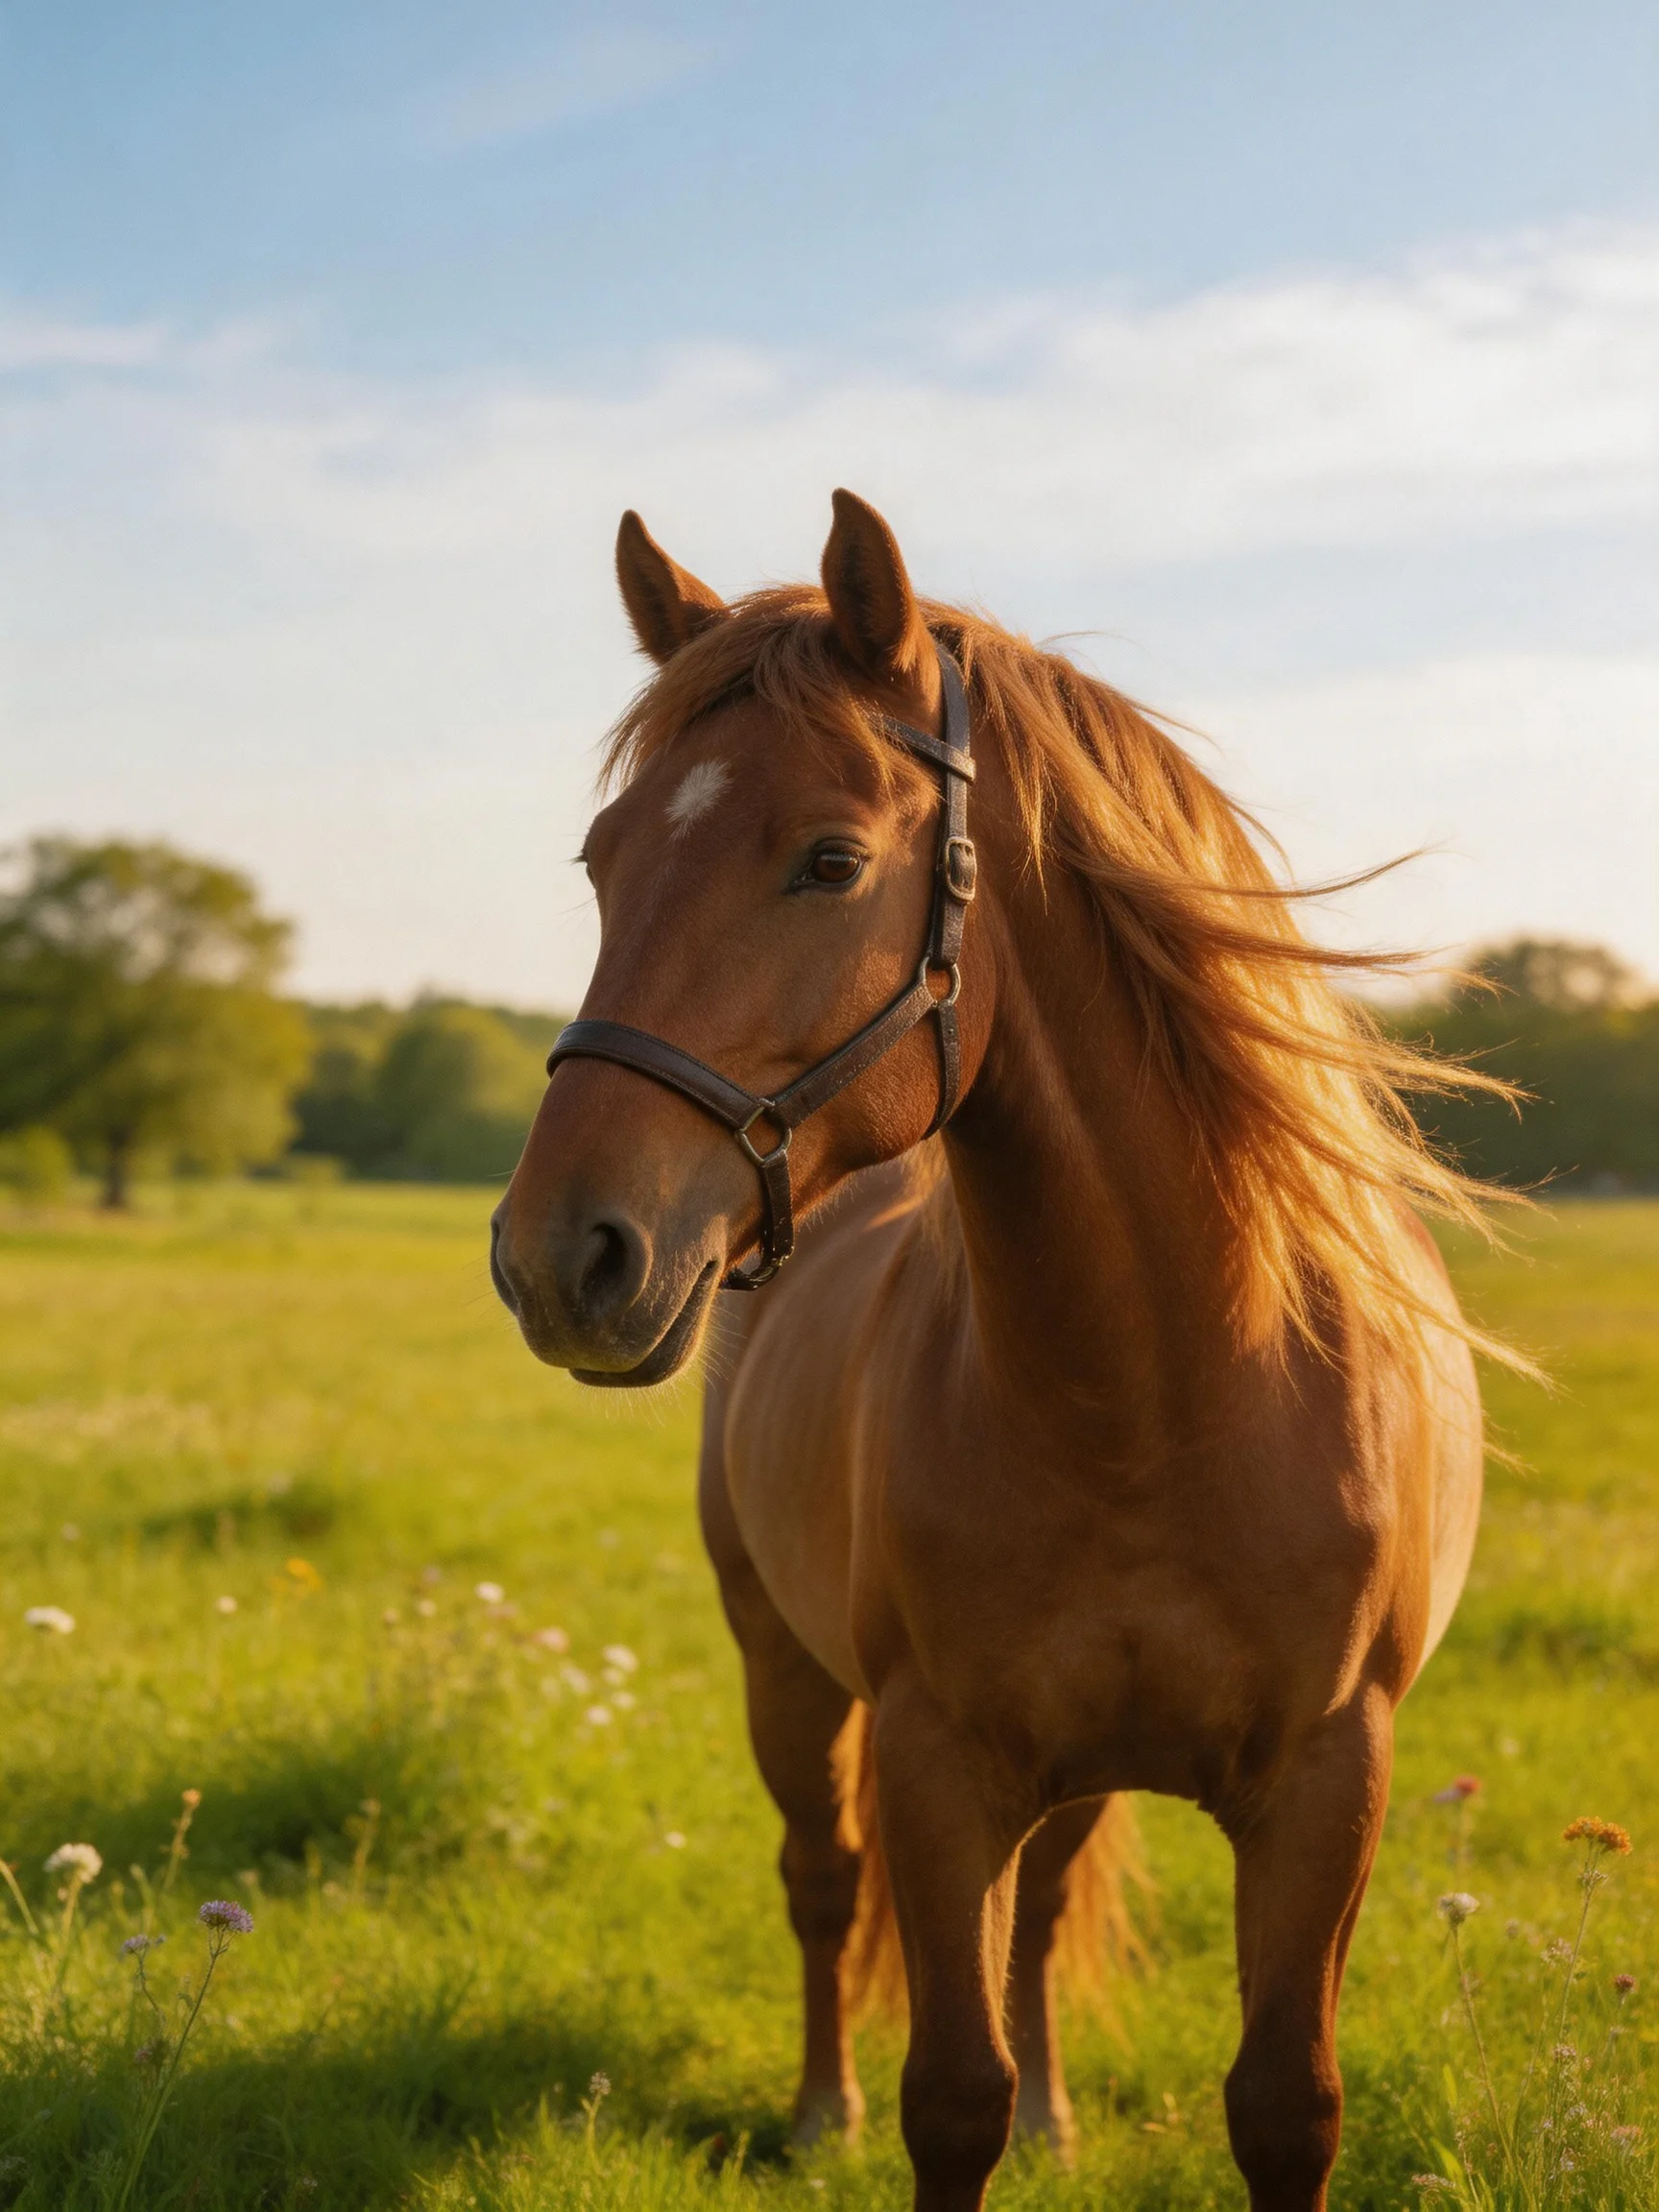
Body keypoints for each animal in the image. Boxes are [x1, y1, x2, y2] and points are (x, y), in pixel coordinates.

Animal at [491, 491, 1504, 2212]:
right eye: (603, 859)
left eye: (829, 859)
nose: (561, 1258)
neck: (1161, 1389)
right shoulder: (936, 1761)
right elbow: (948, 2095)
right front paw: (913, 2112)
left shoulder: (1326, 1782)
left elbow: (1282, 2104)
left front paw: (1052, 2113)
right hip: (782, 1667)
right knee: (822, 1881)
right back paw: (817, 2107)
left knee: (1035, 1908)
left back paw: (1056, 2120)